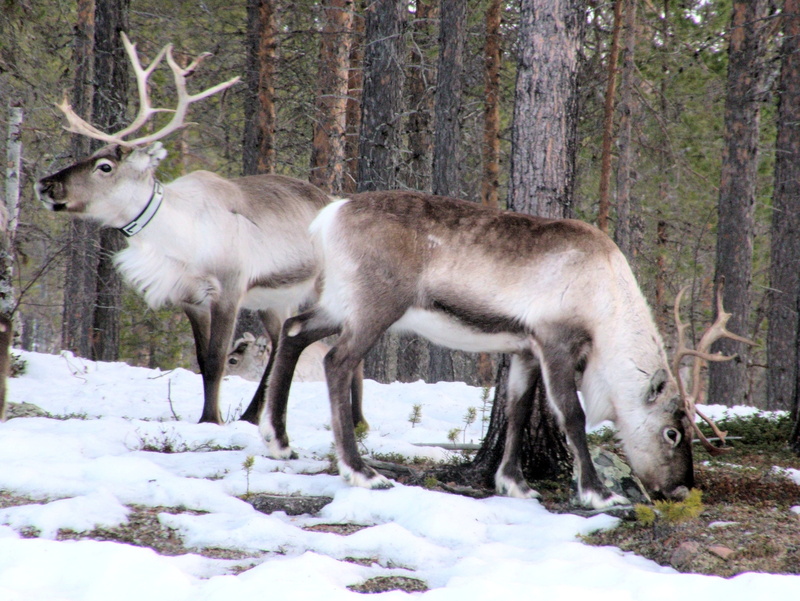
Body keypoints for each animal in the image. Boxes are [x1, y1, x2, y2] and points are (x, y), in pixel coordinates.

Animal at [35, 33, 364, 427]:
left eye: (104, 166)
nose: (45, 185)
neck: (179, 240)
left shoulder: (230, 289)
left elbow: (219, 357)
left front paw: (211, 420)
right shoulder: (189, 298)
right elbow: (203, 360)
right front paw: (212, 417)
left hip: (322, 287)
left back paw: (357, 420)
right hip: (275, 299)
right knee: (280, 342)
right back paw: (252, 415)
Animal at [259, 190, 698, 510]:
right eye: (673, 432)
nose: (681, 490)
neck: (606, 304)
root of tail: (330, 215)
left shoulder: (524, 348)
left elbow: (517, 408)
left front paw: (514, 484)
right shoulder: (556, 340)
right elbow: (571, 414)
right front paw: (598, 494)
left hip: (340, 304)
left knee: (294, 331)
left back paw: (277, 439)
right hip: (374, 308)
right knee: (336, 361)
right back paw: (361, 471)